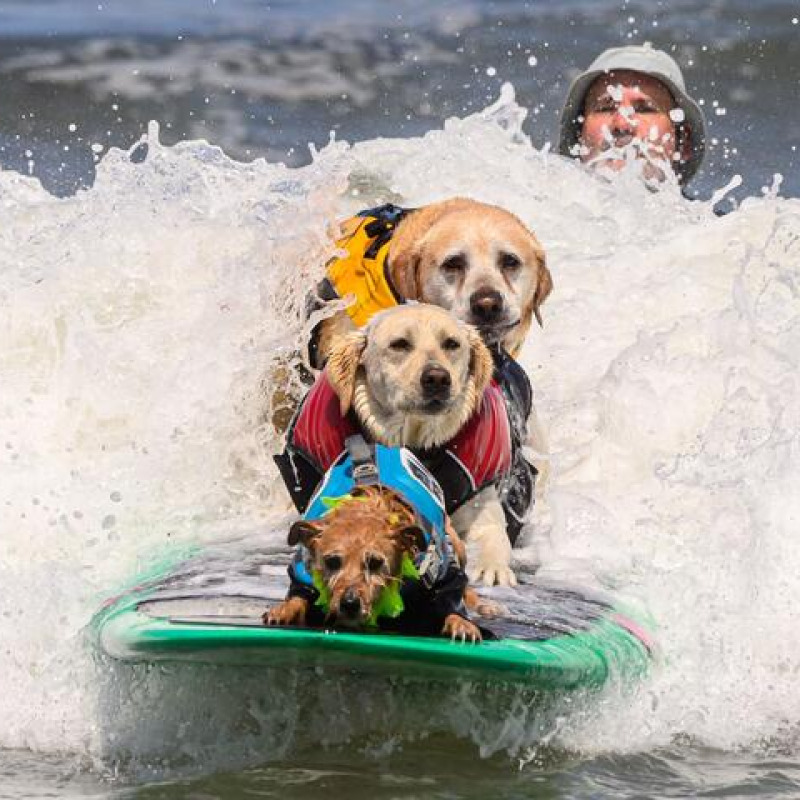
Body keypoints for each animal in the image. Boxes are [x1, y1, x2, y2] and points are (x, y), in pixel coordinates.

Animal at [266, 484, 484, 640]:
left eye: (375, 562)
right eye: (332, 562)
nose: (350, 603)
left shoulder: (437, 571)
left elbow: (451, 592)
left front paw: (460, 622)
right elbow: (299, 595)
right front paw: (286, 608)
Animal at [324, 304, 520, 584]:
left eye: (451, 343)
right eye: (399, 344)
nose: (437, 378)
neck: (417, 442)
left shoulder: (480, 501)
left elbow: (491, 533)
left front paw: (491, 569)